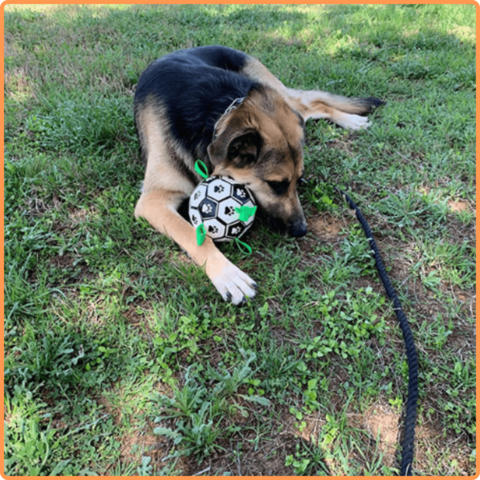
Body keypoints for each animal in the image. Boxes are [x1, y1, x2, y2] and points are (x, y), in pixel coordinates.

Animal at [132, 47, 382, 306]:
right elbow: (193, 235)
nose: (301, 230)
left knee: (312, 103)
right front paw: (229, 275)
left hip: (278, 94)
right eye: (276, 184)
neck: (213, 119)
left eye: (299, 180)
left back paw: (351, 120)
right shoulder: (153, 201)